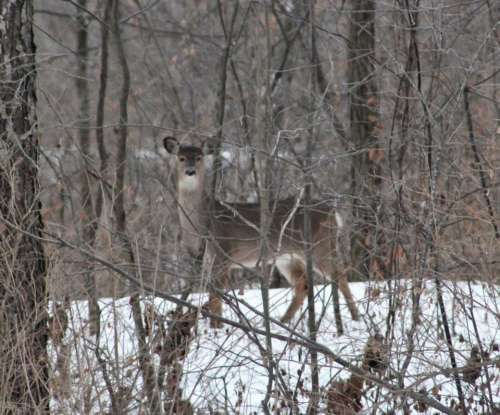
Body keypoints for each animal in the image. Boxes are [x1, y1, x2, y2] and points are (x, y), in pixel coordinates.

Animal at [165, 138, 360, 330]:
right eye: (181, 158)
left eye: (199, 157)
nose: (190, 172)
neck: (202, 223)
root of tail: (333, 212)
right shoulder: (202, 259)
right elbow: (212, 293)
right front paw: (216, 326)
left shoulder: (223, 251)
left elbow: (216, 295)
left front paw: (216, 327)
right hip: (287, 256)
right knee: (303, 285)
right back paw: (283, 323)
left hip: (321, 244)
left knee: (340, 275)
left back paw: (354, 317)